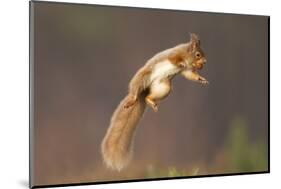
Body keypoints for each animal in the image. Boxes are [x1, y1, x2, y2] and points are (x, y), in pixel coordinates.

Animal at [100, 33, 208, 171]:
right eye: (198, 54)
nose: (204, 62)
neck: (186, 54)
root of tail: (145, 90)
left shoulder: (187, 71)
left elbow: (190, 75)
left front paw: (202, 79)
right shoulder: (174, 54)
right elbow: (175, 60)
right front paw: (181, 63)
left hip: (164, 87)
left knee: (148, 97)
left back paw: (150, 101)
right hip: (142, 77)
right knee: (135, 90)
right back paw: (133, 100)